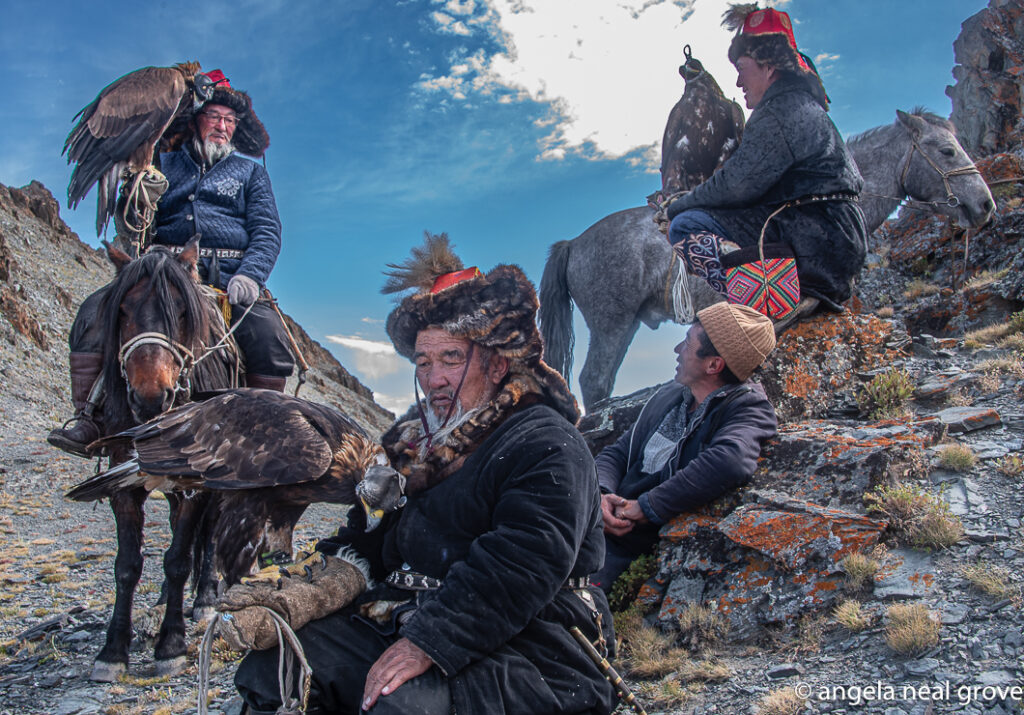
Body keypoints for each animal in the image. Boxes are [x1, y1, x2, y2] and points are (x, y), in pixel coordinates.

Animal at [77, 236, 237, 676]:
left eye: (183, 312)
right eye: (122, 310)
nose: (151, 397)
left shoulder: (199, 485)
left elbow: (178, 558)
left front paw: (171, 643)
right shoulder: (122, 476)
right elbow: (128, 563)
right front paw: (113, 650)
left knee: (209, 535)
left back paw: (204, 598)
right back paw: (170, 598)